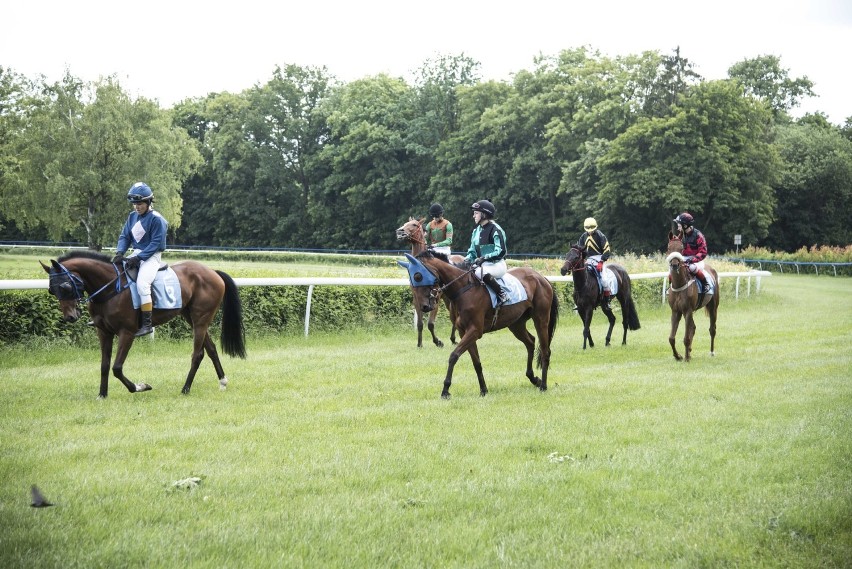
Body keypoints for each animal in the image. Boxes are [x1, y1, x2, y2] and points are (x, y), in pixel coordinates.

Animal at [41, 251, 246, 398]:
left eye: (65, 286)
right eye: (51, 290)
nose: (70, 317)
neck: (110, 288)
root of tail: (212, 272)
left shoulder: (127, 333)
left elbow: (117, 368)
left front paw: (140, 386)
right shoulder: (104, 332)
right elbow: (104, 365)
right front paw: (102, 394)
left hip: (201, 319)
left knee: (198, 354)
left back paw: (185, 388)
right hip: (192, 318)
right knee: (211, 349)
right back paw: (222, 381)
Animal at [394, 217, 456, 348]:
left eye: (414, 224)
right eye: (405, 223)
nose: (400, 232)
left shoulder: (435, 299)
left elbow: (431, 324)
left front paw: (438, 342)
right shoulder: (417, 299)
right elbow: (420, 324)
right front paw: (419, 344)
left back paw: (454, 338)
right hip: (447, 298)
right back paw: (453, 339)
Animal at [400, 248, 560, 400]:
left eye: (418, 276)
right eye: (412, 279)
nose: (424, 307)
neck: (463, 289)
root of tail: (541, 277)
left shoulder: (475, 331)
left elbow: (454, 355)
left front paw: (445, 390)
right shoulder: (464, 332)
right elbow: (476, 362)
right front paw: (483, 390)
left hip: (541, 319)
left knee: (545, 350)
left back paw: (543, 385)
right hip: (516, 324)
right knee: (530, 342)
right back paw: (534, 378)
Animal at [664, 231, 720, 360]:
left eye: (681, 248)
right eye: (669, 248)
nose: (675, 265)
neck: (679, 284)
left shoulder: (688, 310)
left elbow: (686, 338)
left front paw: (686, 357)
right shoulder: (676, 311)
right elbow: (671, 338)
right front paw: (678, 356)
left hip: (713, 307)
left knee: (712, 329)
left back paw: (711, 352)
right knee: (693, 328)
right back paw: (689, 351)